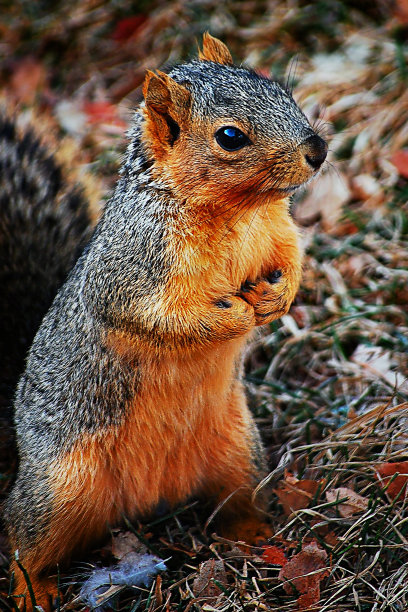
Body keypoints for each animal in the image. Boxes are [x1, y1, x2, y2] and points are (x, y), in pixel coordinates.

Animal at [3, 34, 328, 612]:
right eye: (229, 137)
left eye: (281, 91)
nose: (318, 150)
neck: (232, 213)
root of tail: (147, 498)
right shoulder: (133, 272)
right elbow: (162, 317)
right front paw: (238, 314)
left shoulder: (278, 231)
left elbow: (293, 259)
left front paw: (277, 297)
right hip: (57, 488)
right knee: (23, 540)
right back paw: (33, 590)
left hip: (240, 454)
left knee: (238, 500)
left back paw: (255, 533)